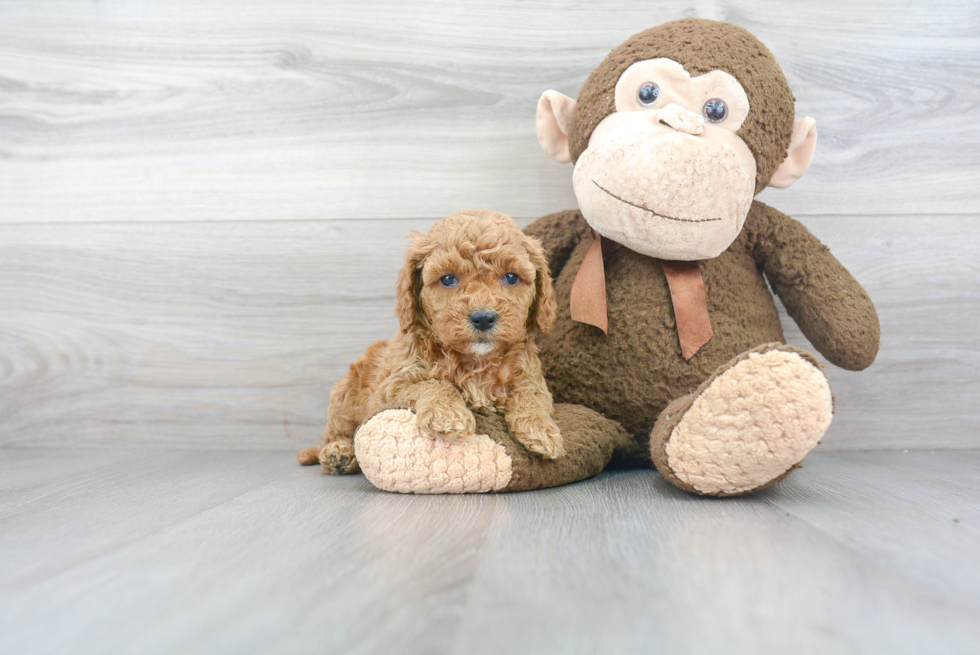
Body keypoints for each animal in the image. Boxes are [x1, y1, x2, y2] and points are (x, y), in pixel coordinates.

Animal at [294, 210, 564, 476]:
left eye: (511, 277)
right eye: (448, 279)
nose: (483, 318)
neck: (475, 361)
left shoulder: (530, 374)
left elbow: (532, 394)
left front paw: (541, 429)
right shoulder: (391, 386)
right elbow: (433, 383)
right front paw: (448, 414)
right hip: (345, 395)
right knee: (337, 433)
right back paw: (338, 453)